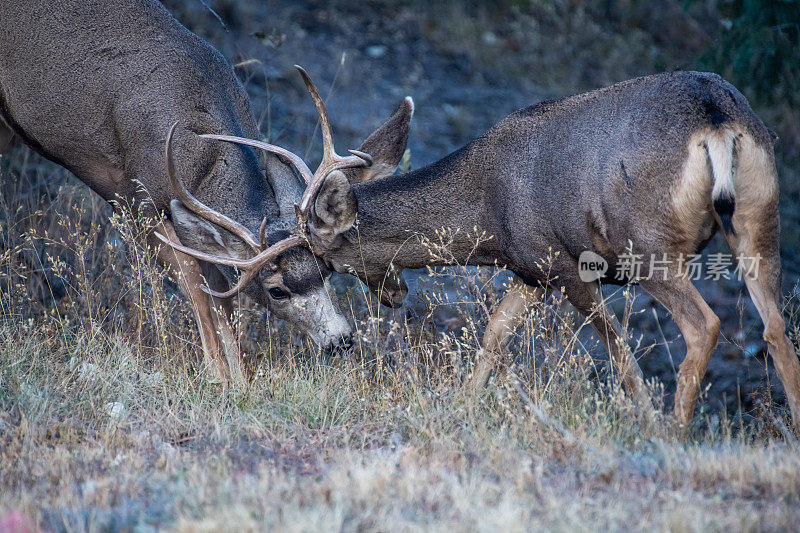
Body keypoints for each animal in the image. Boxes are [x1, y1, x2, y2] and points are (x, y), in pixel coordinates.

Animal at [0, 0, 362, 382]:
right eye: (276, 290)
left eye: (326, 270)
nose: (341, 340)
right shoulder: (139, 203)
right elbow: (197, 292)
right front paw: (218, 376)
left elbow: (222, 297)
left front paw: (240, 379)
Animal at [175, 66, 800, 432]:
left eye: (325, 269)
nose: (393, 295)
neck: (487, 214)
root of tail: (716, 118)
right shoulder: (531, 272)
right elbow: (494, 336)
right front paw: (462, 408)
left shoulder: (563, 263)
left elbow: (618, 350)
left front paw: (643, 420)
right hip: (760, 218)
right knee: (775, 330)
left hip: (646, 243)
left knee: (705, 325)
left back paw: (671, 433)